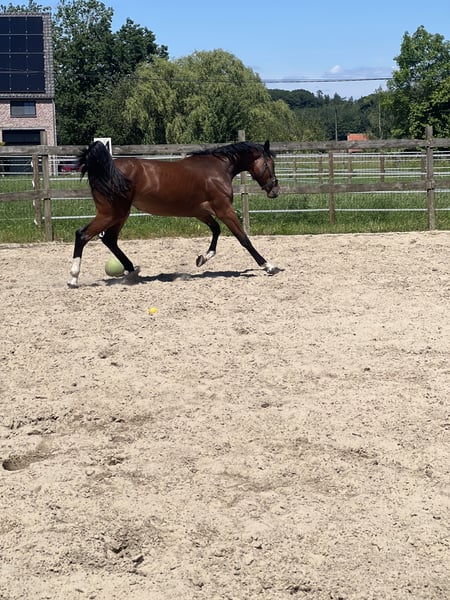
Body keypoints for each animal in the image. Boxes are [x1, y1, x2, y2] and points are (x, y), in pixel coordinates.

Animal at [68, 140, 280, 287]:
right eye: (269, 164)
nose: (275, 190)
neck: (218, 169)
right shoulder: (224, 209)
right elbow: (243, 238)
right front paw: (269, 266)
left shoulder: (200, 211)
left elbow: (216, 230)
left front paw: (202, 258)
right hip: (111, 213)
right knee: (83, 234)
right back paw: (73, 279)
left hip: (120, 214)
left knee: (109, 239)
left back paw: (132, 272)